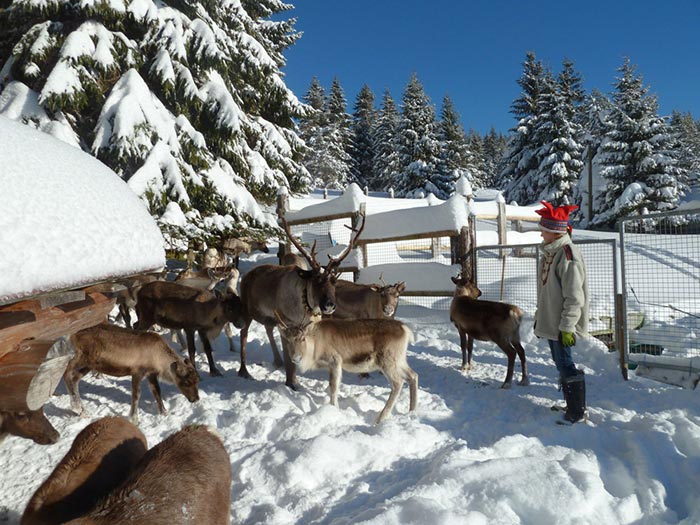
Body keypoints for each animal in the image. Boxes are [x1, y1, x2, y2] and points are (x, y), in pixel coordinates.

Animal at [66, 324, 200, 422]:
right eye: (186, 382)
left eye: (197, 380)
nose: (196, 399)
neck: (159, 359)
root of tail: (73, 336)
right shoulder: (137, 372)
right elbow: (136, 395)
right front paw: (134, 418)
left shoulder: (151, 374)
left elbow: (157, 392)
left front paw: (164, 413)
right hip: (83, 357)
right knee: (67, 371)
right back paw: (76, 407)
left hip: (89, 365)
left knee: (75, 378)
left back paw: (81, 411)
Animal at [278, 316, 418, 422]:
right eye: (287, 340)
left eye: (302, 338)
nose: (296, 358)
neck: (314, 345)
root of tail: (405, 329)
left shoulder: (335, 361)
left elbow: (334, 386)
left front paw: (334, 408)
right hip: (399, 361)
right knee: (413, 375)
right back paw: (412, 410)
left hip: (387, 361)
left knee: (398, 383)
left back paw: (380, 418)